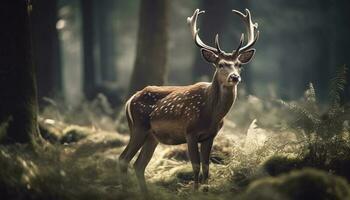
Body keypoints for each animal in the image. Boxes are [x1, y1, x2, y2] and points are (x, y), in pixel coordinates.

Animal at [119, 8, 258, 192]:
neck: (211, 114)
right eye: (220, 64)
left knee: (139, 165)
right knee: (123, 158)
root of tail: (130, 100)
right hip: (138, 126)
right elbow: (195, 165)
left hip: (151, 136)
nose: (234, 77)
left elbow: (206, 167)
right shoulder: (190, 131)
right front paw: (195, 190)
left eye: (239, 65)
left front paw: (205, 190)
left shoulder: (210, 135)